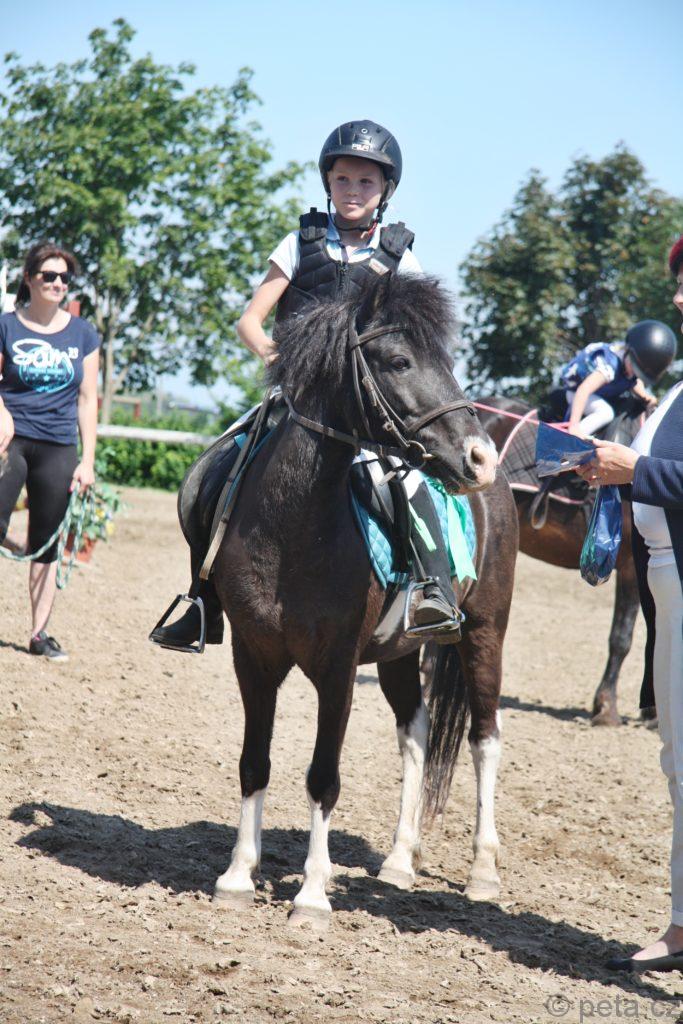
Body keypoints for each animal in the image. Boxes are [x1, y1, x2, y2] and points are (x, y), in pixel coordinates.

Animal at [201, 274, 518, 925]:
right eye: (399, 361)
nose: (480, 456)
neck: (293, 530)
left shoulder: (338, 667)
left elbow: (324, 775)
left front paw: (312, 895)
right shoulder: (253, 657)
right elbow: (253, 761)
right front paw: (239, 875)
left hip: (484, 633)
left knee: (485, 738)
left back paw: (483, 872)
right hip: (399, 651)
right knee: (415, 731)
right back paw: (399, 859)